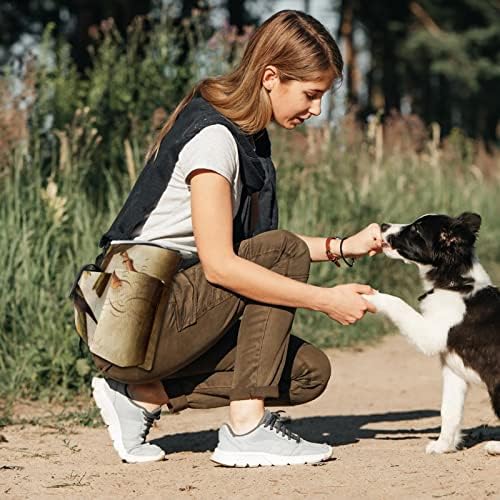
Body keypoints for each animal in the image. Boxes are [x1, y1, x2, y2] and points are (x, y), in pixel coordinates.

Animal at [364, 213, 500, 456]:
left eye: (416, 230)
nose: (383, 225)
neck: (454, 283)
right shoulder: (453, 369)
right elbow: (449, 411)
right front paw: (443, 446)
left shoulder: (430, 336)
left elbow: (397, 303)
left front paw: (367, 296)